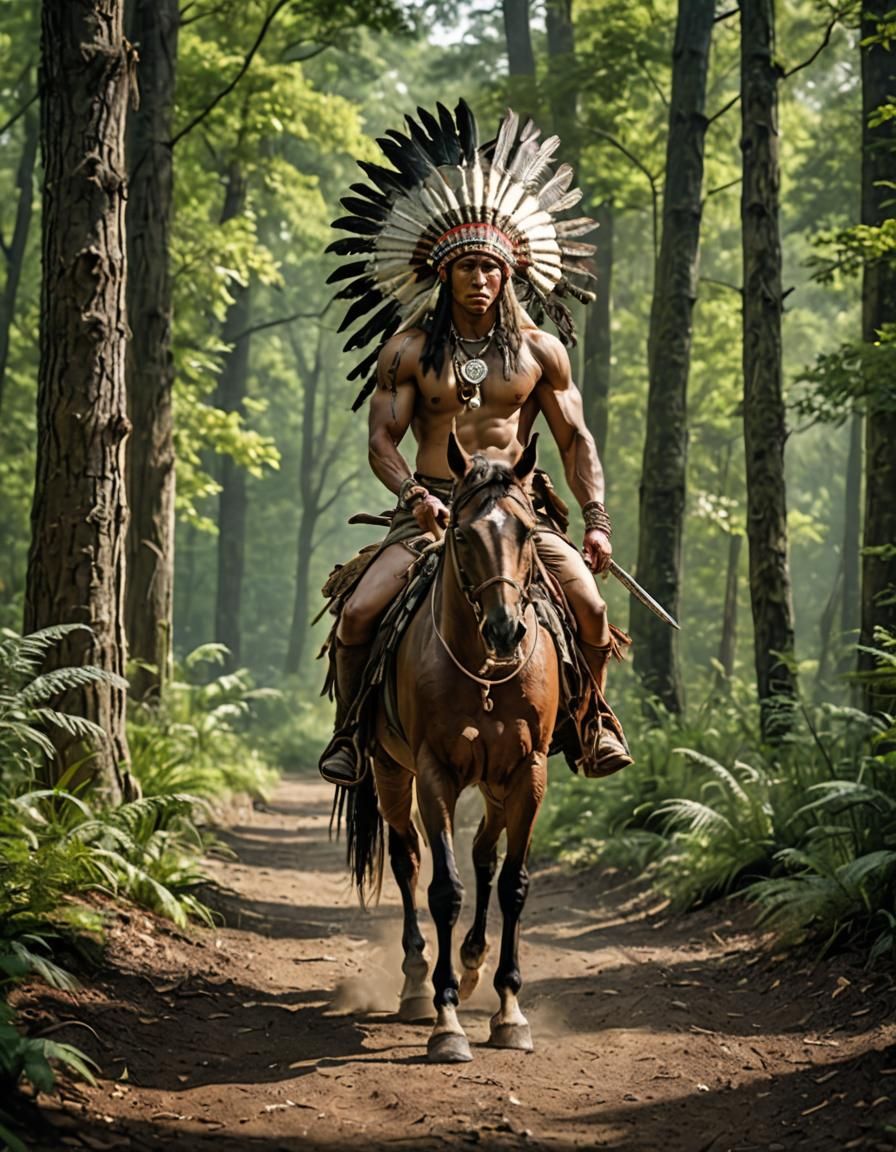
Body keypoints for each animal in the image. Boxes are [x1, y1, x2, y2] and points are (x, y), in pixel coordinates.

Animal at [345, 433, 555, 1059]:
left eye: (527, 533)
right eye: (462, 535)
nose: (506, 630)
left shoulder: (529, 773)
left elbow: (512, 884)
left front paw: (510, 1011)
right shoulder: (434, 772)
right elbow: (444, 888)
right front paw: (447, 1021)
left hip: (496, 783)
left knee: (486, 854)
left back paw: (472, 961)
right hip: (390, 770)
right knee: (407, 857)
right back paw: (418, 982)